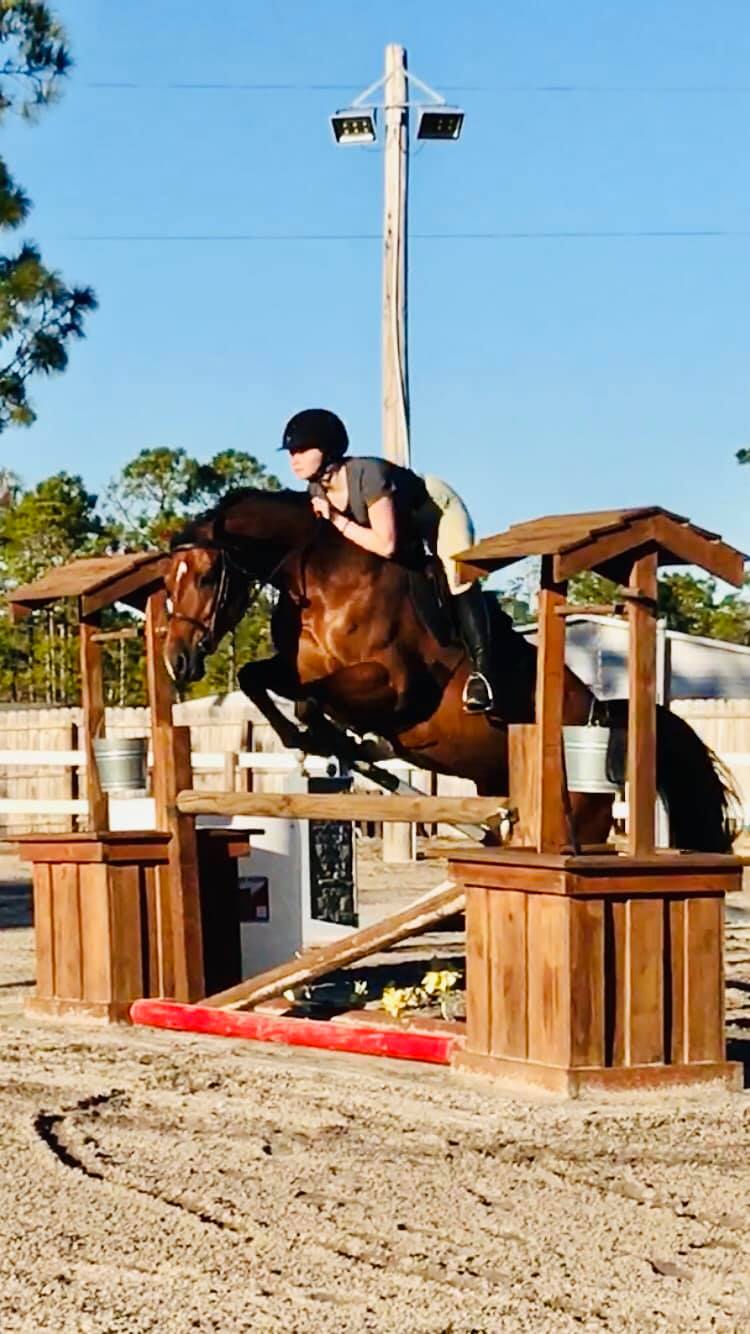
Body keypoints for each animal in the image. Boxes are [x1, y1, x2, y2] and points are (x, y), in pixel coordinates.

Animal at [162, 486, 738, 852]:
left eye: (208, 576)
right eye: (167, 580)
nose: (178, 659)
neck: (321, 575)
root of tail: (603, 712)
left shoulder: (393, 686)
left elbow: (312, 699)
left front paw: (347, 742)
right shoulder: (291, 668)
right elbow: (258, 679)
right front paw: (323, 742)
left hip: (584, 813)